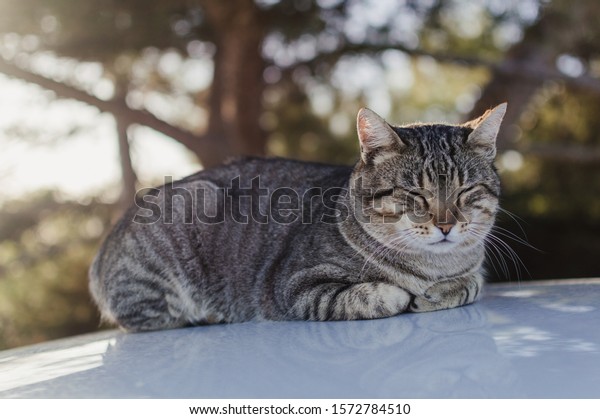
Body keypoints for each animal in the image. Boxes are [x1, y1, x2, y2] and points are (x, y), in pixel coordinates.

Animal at [89, 104, 506, 332]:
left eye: (465, 192)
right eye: (415, 194)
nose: (445, 225)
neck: (433, 266)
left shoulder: (474, 271)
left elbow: (472, 284)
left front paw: (442, 292)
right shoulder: (294, 287)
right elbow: (369, 296)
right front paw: (406, 294)